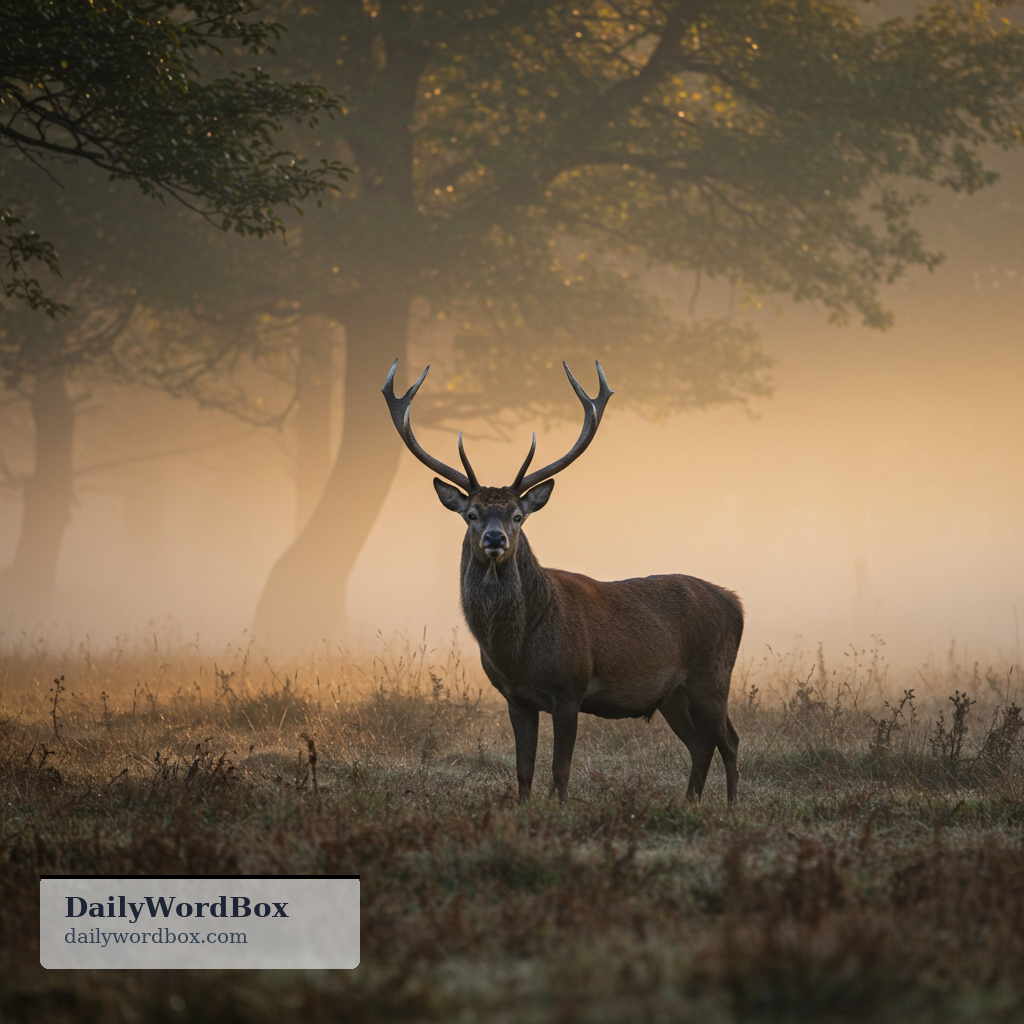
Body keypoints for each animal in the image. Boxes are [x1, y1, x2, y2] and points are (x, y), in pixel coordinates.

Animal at [382, 359, 743, 804]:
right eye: (472, 514)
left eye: (518, 515)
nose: (495, 539)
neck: (516, 650)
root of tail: (736, 603)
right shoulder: (516, 697)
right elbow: (523, 770)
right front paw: (524, 808)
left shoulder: (570, 687)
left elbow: (560, 769)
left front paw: (561, 808)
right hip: (673, 694)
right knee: (701, 743)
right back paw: (691, 802)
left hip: (713, 676)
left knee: (729, 740)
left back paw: (731, 807)